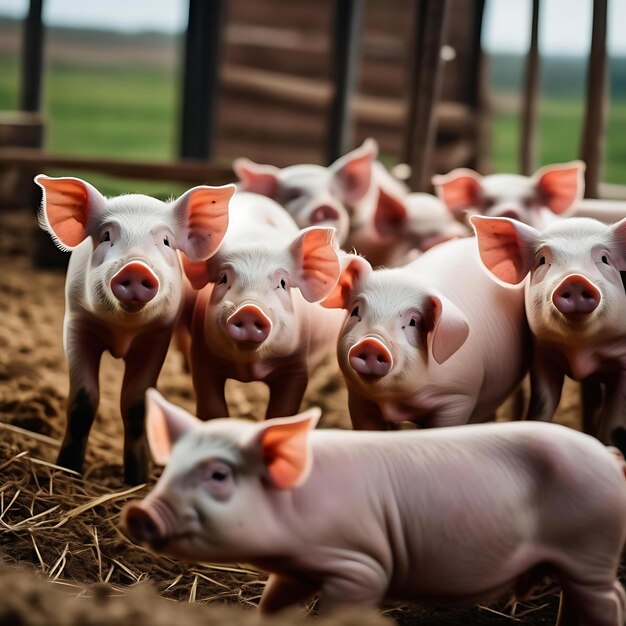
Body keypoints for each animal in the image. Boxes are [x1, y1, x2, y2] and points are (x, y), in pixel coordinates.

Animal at [37, 176, 236, 482]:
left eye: (166, 240)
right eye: (106, 236)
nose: (136, 268)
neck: (123, 329)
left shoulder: (156, 336)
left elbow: (136, 404)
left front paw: (137, 479)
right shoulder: (77, 324)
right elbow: (83, 400)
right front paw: (67, 471)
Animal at [122, 390, 624, 620]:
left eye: (219, 476)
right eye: (170, 468)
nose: (139, 513)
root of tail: (607, 457)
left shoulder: (362, 565)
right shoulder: (295, 569)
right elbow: (272, 601)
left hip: (589, 548)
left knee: (610, 597)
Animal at [180, 191, 346, 420]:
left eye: (282, 284)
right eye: (223, 279)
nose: (249, 309)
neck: (248, 367)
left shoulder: (295, 366)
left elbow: (281, 413)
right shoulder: (202, 356)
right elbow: (212, 410)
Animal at [320, 235, 524, 428]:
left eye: (413, 322)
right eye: (355, 311)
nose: (372, 342)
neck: (393, 402)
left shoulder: (458, 397)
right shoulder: (359, 398)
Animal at [468, 217, 624, 442]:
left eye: (604, 259)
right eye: (542, 260)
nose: (574, 279)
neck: (579, 352)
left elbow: (615, 425)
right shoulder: (542, 354)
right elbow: (541, 404)